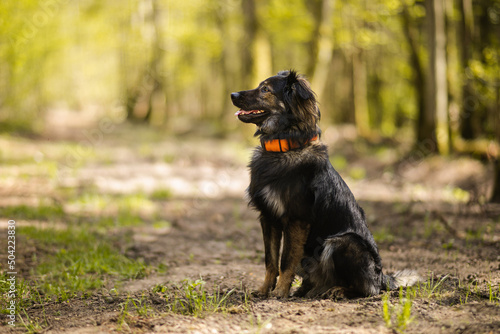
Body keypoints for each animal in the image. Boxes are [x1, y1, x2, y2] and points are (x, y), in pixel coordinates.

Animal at [230, 70, 418, 298]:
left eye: (265, 89)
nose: (232, 94)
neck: (284, 147)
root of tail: (381, 277)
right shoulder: (268, 217)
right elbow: (270, 260)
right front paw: (264, 289)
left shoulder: (296, 219)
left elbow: (285, 260)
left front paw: (279, 292)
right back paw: (305, 290)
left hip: (343, 242)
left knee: (367, 289)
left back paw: (338, 291)